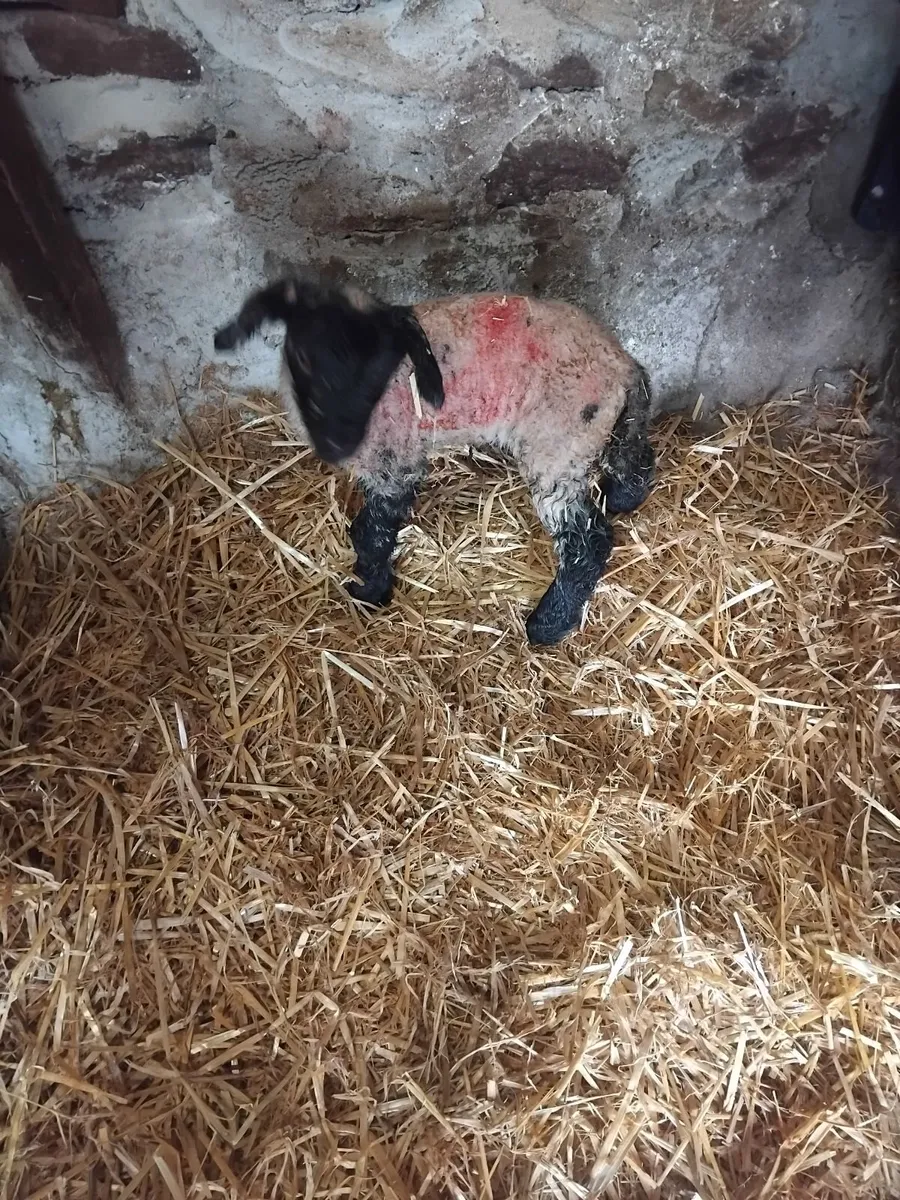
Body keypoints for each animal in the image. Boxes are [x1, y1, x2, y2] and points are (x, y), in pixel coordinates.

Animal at [214, 276, 655, 645]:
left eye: (377, 364)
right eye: (304, 356)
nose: (337, 443)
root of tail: (622, 366)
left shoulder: (396, 461)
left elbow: (373, 532)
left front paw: (369, 592)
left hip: (556, 446)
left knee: (588, 542)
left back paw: (548, 625)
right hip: (598, 432)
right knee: (634, 455)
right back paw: (623, 496)